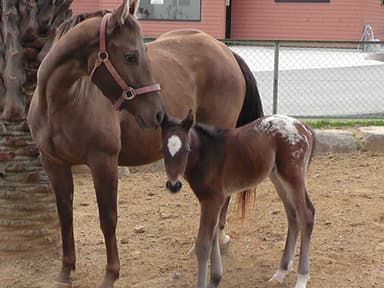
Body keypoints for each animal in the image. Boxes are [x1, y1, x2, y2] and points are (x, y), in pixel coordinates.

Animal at [160, 111, 316, 288]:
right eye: (163, 150)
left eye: (187, 149)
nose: (173, 185)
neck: (206, 155)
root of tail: (305, 128)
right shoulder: (212, 200)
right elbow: (213, 236)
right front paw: (215, 279)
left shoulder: (213, 199)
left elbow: (203, 245)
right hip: (277, 177)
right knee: (292, 215)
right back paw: (281, 272)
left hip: (292, 176)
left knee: (306, 215)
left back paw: (301, 279)